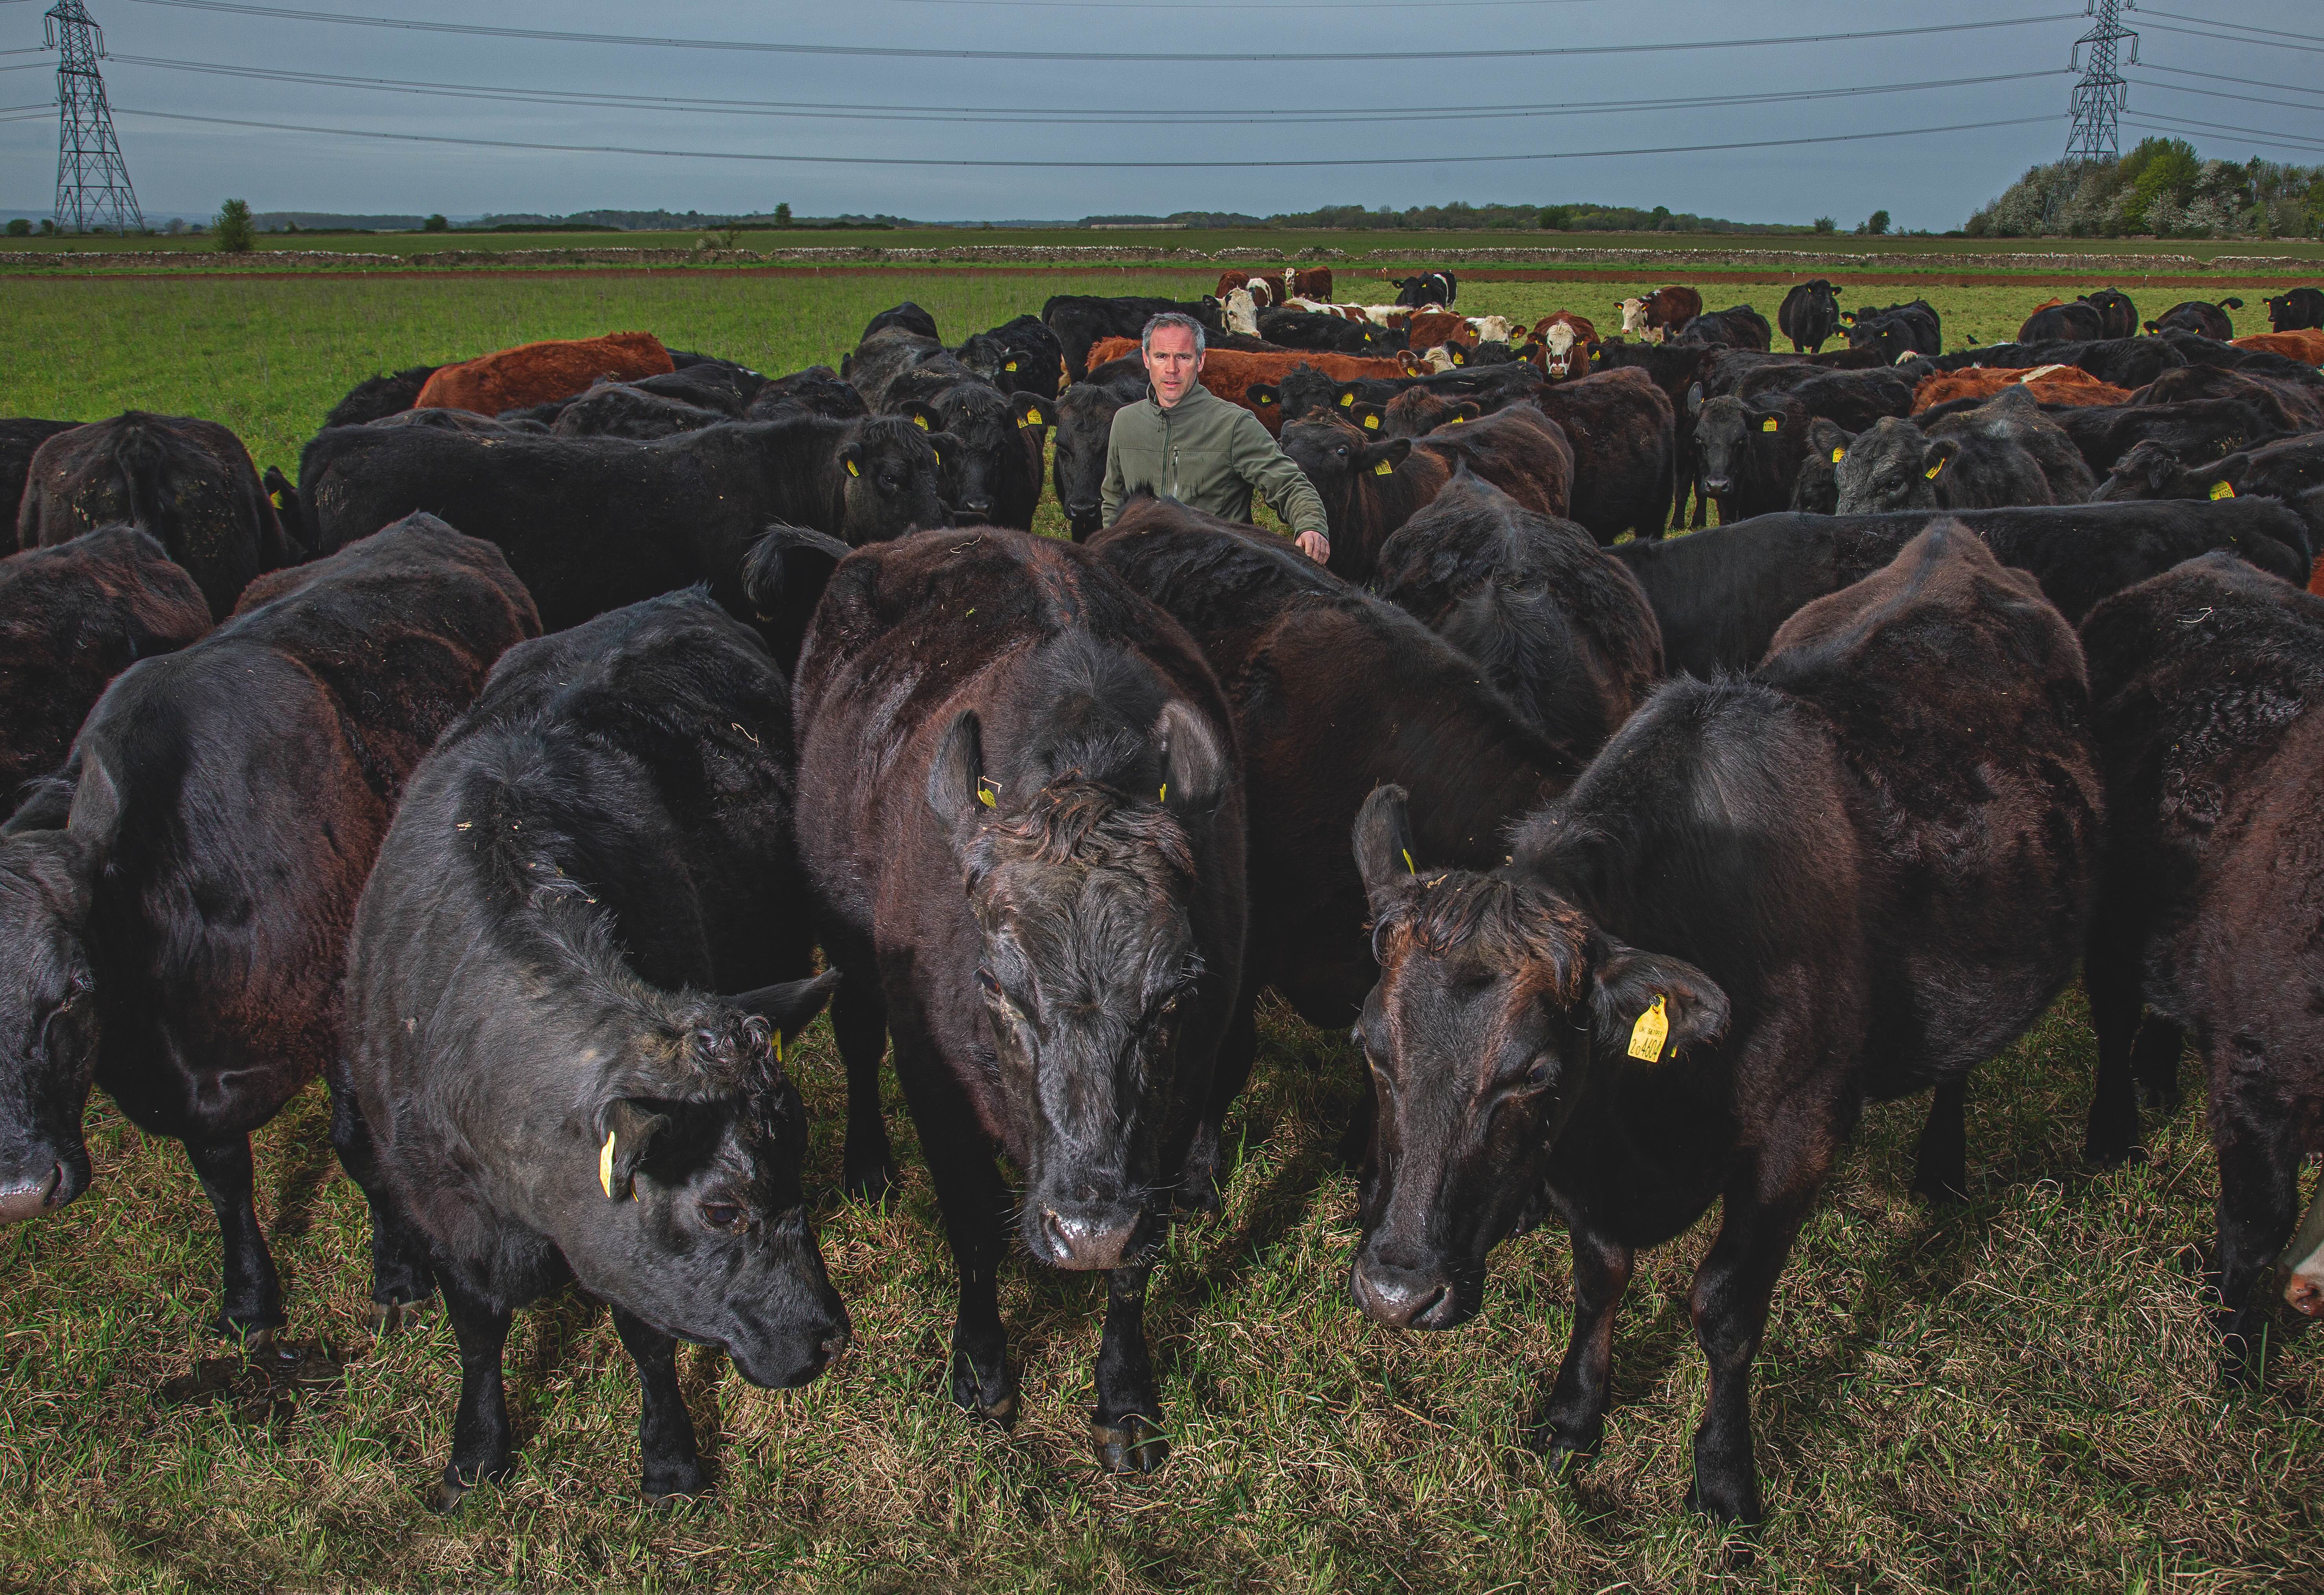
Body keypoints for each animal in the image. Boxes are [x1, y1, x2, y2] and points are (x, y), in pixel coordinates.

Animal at [341, 589, 842, 1509]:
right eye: (722, 1208)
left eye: (795, 1166)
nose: (828, 1336)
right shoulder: (445, 1207)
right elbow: (477, 1330)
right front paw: (476, 1451)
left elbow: (646, 1332)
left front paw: (670, 1459)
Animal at [794, 527, 1246, 1476]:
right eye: (999, 985)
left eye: (1173, 991)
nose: (1085, 1227)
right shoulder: (935, 1086)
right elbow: (974, 1229)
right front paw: (982, 1370)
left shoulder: (1172, 1109)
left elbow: (1139, 1262)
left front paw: (1124, 1396)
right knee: (854, 1038)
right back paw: (867, 1163)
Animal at [1348, 523, 2100, 1525]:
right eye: (1372, 1050)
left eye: (1534, 1073)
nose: (1397, 1290)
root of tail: (1951, 541)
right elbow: (1600, 1275)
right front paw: (1574, 1410)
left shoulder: (1799, 1136)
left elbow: (1725, 1307)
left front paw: (1723, 1473)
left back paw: (1942, 1164)